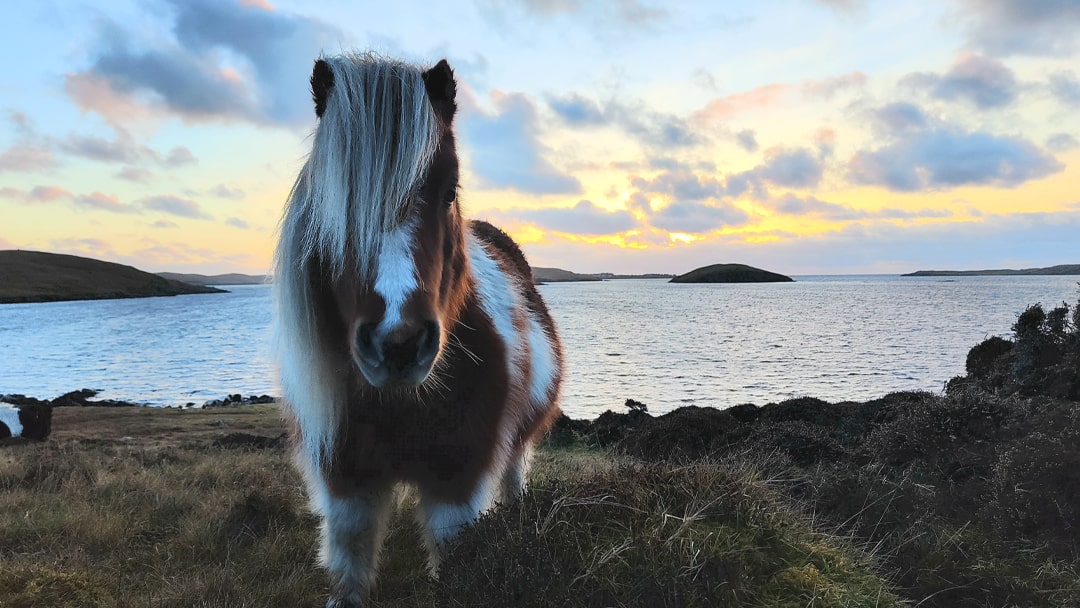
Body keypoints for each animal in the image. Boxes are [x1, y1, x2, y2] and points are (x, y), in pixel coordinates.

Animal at [273, 53, 563, 607]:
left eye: (449, 190)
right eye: (332, 199)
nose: (399, 344)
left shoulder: (457, 482)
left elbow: (454, 562)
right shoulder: (348, 482)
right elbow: (350, 555)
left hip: (517, 445)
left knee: (515, 474)